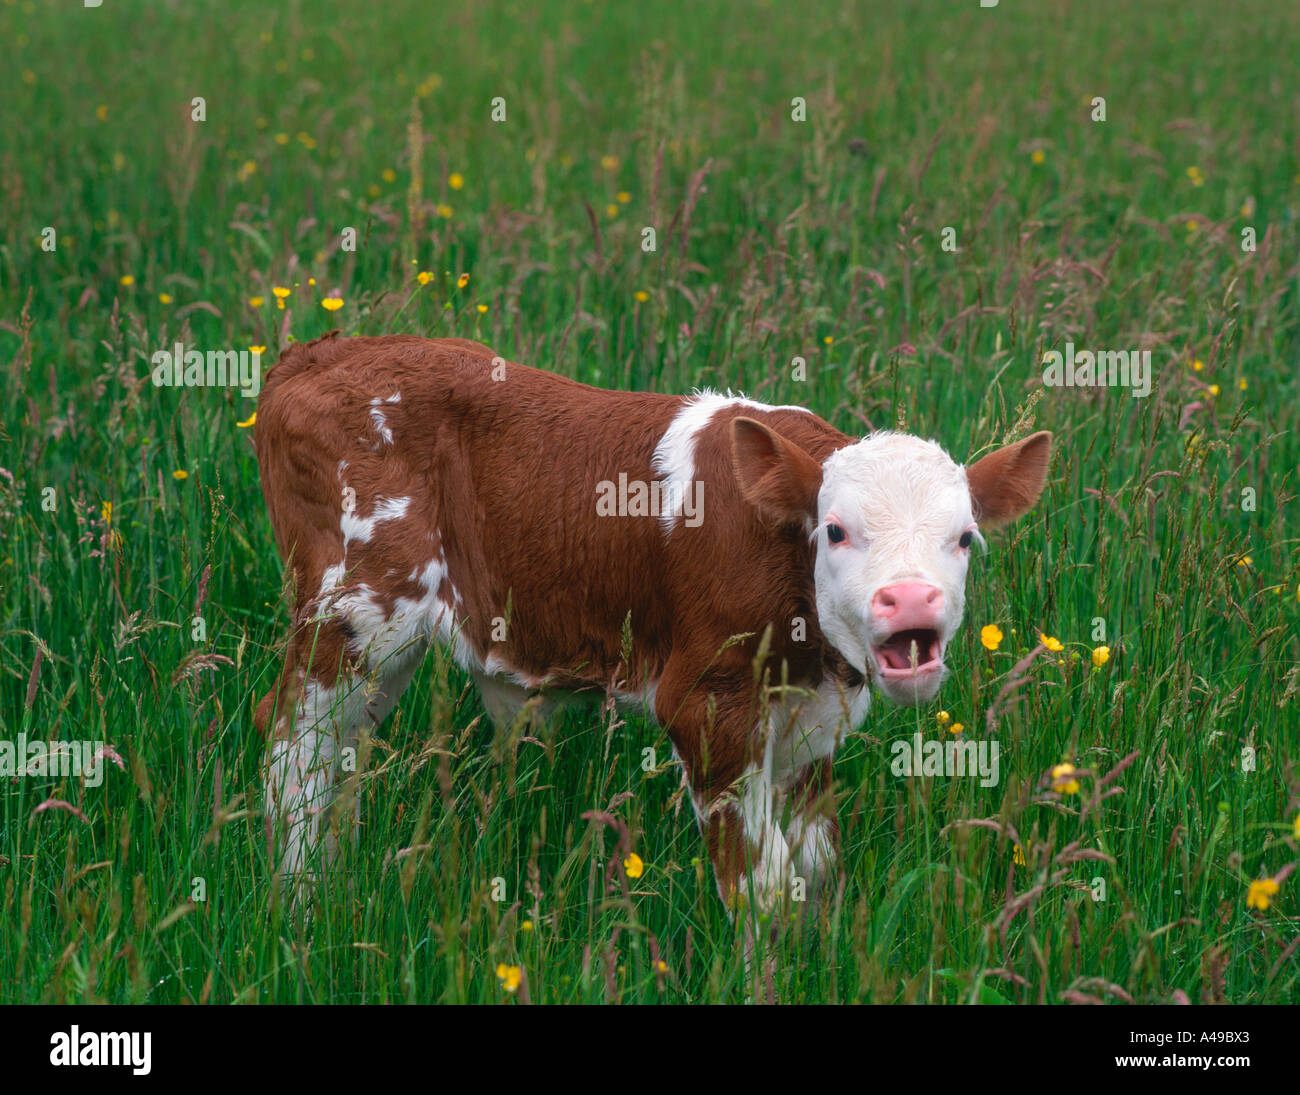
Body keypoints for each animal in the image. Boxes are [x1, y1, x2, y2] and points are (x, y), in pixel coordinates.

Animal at [253, 332, 1051, 912]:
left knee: (347, 749)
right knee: (298, 744)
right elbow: (763, 884)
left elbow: (818, 867)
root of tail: (323, 351)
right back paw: (299, 905)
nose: (911, 600)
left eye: (964, 538)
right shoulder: (707, 705)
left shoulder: (809, 723)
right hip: (352, 610)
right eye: (835, 531)